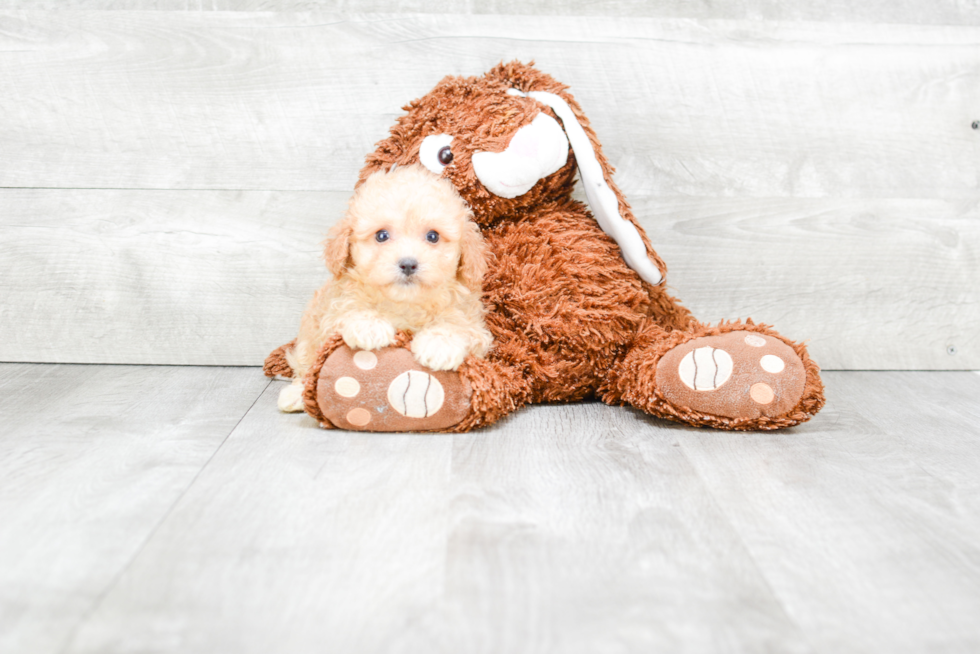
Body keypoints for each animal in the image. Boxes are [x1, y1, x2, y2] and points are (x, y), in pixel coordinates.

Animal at [278, 165, 490, 410]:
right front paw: (369, 327)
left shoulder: (474, 326)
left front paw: (439, 345)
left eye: (433, 236)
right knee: (307, 365)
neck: (404, 304)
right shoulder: (331, 314)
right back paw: (296, 394)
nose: (408, 264)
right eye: (381, 235)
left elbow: (457, 324)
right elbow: (348, 311)